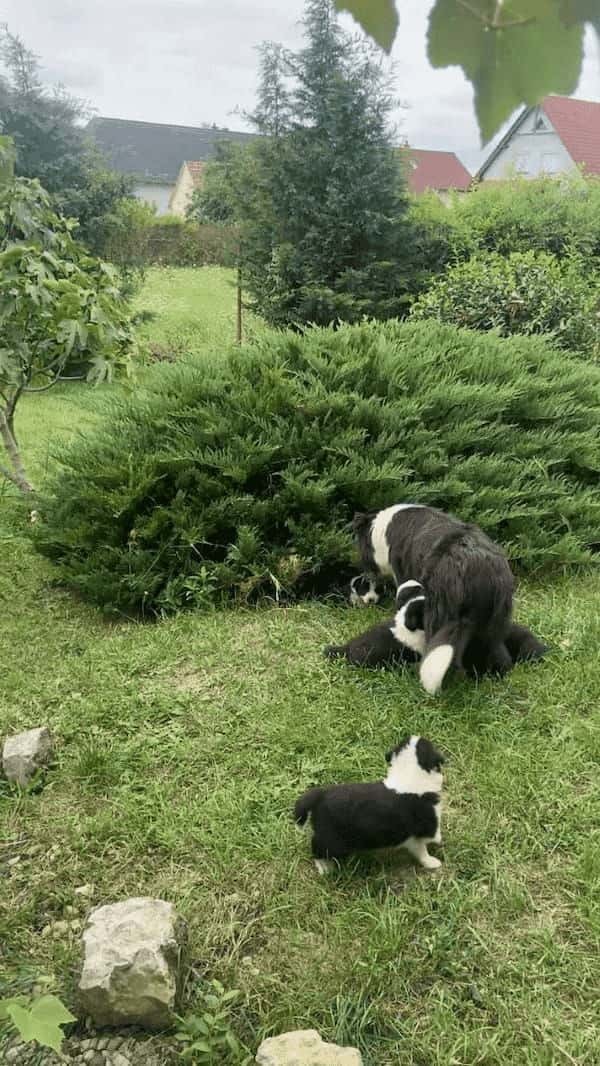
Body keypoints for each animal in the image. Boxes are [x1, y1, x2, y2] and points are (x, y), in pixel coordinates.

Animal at [294, 733, 443, 874]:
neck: (408, 774)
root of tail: (319, 795)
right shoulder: (426, 825)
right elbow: (424, 848)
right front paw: (433, 861)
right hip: (333, 840)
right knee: (317, 849)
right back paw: (325, 868)